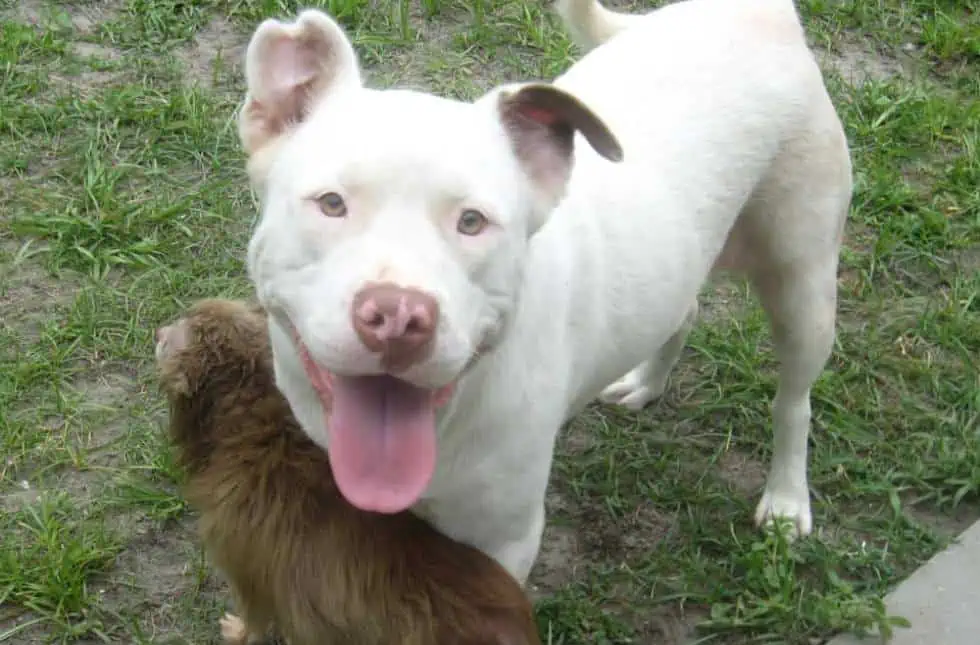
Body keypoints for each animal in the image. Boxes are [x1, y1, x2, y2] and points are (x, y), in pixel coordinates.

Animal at [153, 300, 540, 644]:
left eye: (170, 336)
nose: (157, 330)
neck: (250, 428)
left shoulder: (244, 569)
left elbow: (254, 618)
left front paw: (237, 631)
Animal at [235, 0, 848, 584]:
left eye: (473, 222)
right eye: (331, 203)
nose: (398, 316)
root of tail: (760, 11)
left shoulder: (503, 542)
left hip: (802, 287)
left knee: (793, 402)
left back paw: (787, 499)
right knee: (684, 309)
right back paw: (645, 383)